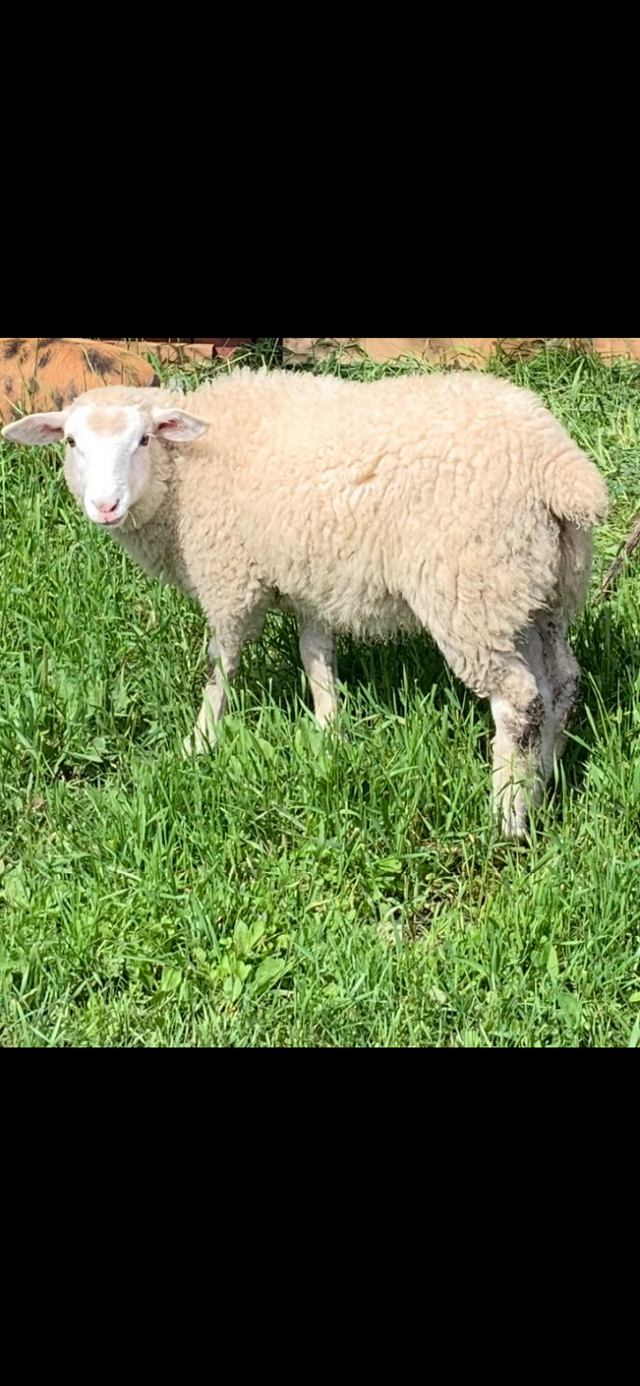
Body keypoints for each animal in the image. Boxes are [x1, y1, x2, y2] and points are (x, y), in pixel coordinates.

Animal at [2, 368, 608, 839]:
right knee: (560, 683)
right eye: (72, 443)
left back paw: (507, 815)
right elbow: (316, 656)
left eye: (145, 440)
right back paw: (544, 780)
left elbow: (221, 664)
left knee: (519, 701)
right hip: (537, 587)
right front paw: (329, 733)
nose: (105, 506)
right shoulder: (309, 576)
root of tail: (559, 467)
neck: (183, 479)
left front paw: (199, 743)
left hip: (470, 588)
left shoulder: (229, 577)